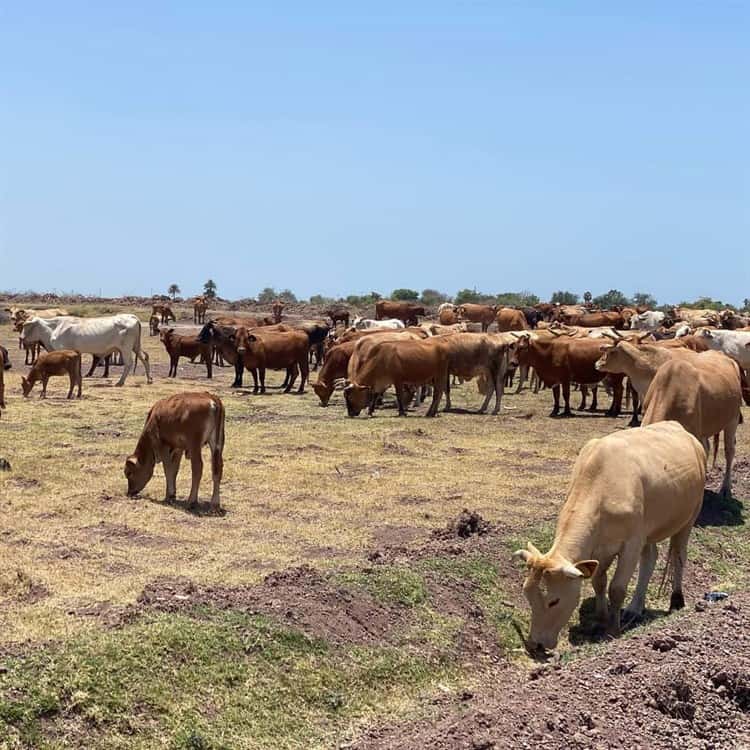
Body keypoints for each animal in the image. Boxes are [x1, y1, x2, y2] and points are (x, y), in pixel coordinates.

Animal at [21, 316, 153, 388]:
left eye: (26, 326)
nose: (21, 338)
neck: (53, 328)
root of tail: (132, 317)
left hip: (126, 348)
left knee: (129, 363)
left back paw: (120, 382)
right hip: (135, 346)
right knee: (145, 358)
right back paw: (149, 379)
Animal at [516, 420, 708, 656]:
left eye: (554, 601)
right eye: (527, 594)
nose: (535, 644)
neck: (599, 483)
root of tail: (681, 429)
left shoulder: (631, 544)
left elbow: (616, 588)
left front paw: (613, 629)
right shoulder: (601, 548)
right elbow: (599, 581)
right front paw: (601, 617)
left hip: (689, 516)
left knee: (679, 555)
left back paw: (676, 601)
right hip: (648, 531)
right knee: (650, 558)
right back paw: (635, 608)